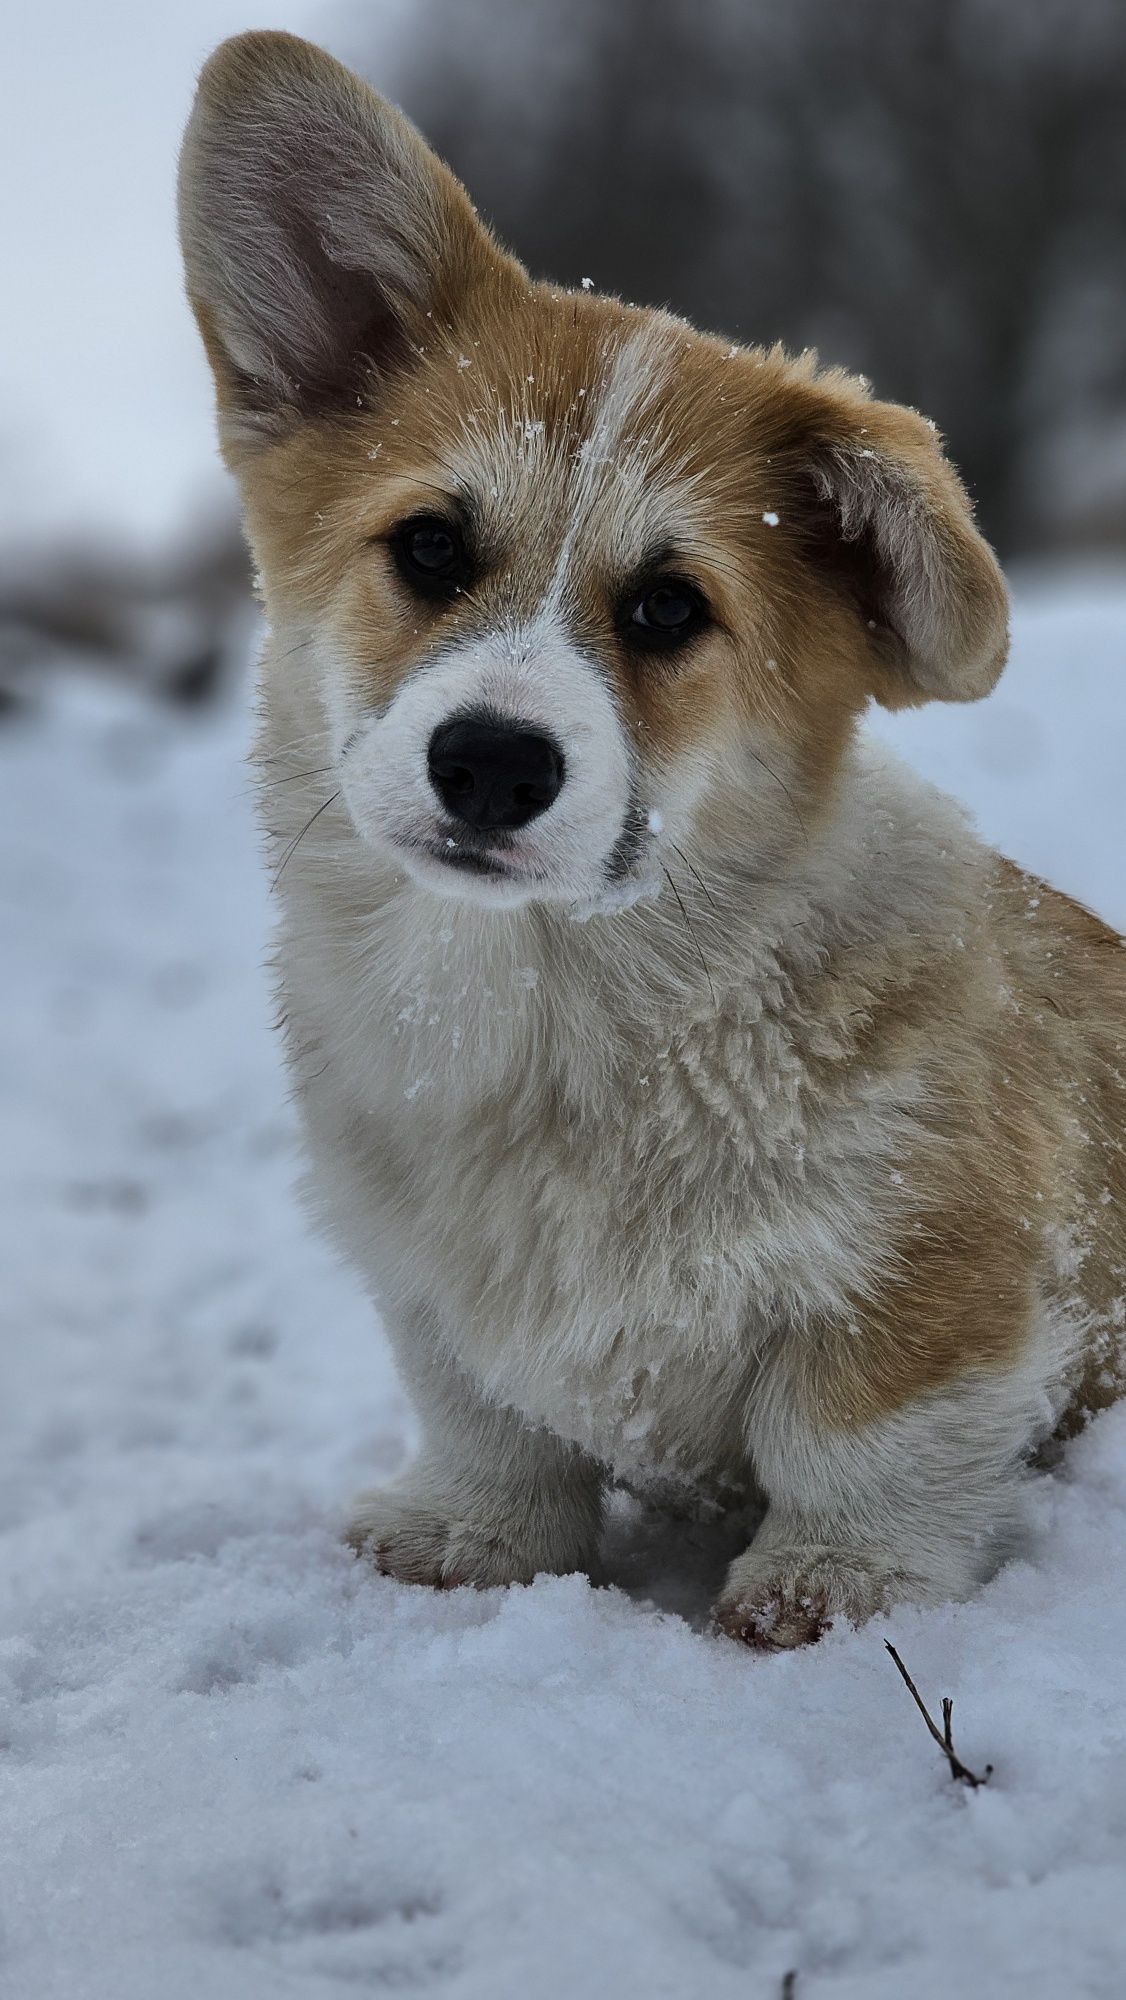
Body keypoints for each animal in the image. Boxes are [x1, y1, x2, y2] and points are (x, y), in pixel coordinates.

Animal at [181, 31, 1120, 1648]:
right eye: (430, 546)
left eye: (670, 608)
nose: (491, 763)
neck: (561, 1013)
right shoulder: (433, 1295)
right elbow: (487, 1416)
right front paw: (470, 1534)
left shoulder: (944, 1276)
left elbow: (863, 1438)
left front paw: (830, 1585)